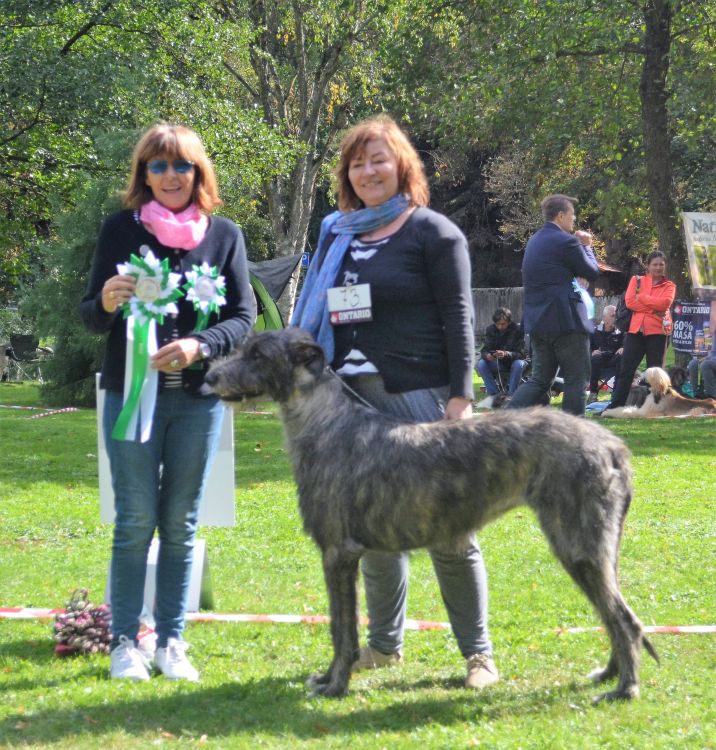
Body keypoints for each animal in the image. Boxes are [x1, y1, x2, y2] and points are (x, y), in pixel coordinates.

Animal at [206, 328, 658, 703]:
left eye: (259, 354)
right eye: (244, 347)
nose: (209, 377)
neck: (326, 421)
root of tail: (613, 446)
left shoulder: (338, 553)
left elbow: (341, 628)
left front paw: (335, 685)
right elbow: (345, 625)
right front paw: (332, 679)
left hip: (578, 546)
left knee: (625, 621)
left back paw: (625, 689)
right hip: (597, 549)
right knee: (615, 615)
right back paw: (609, 674)